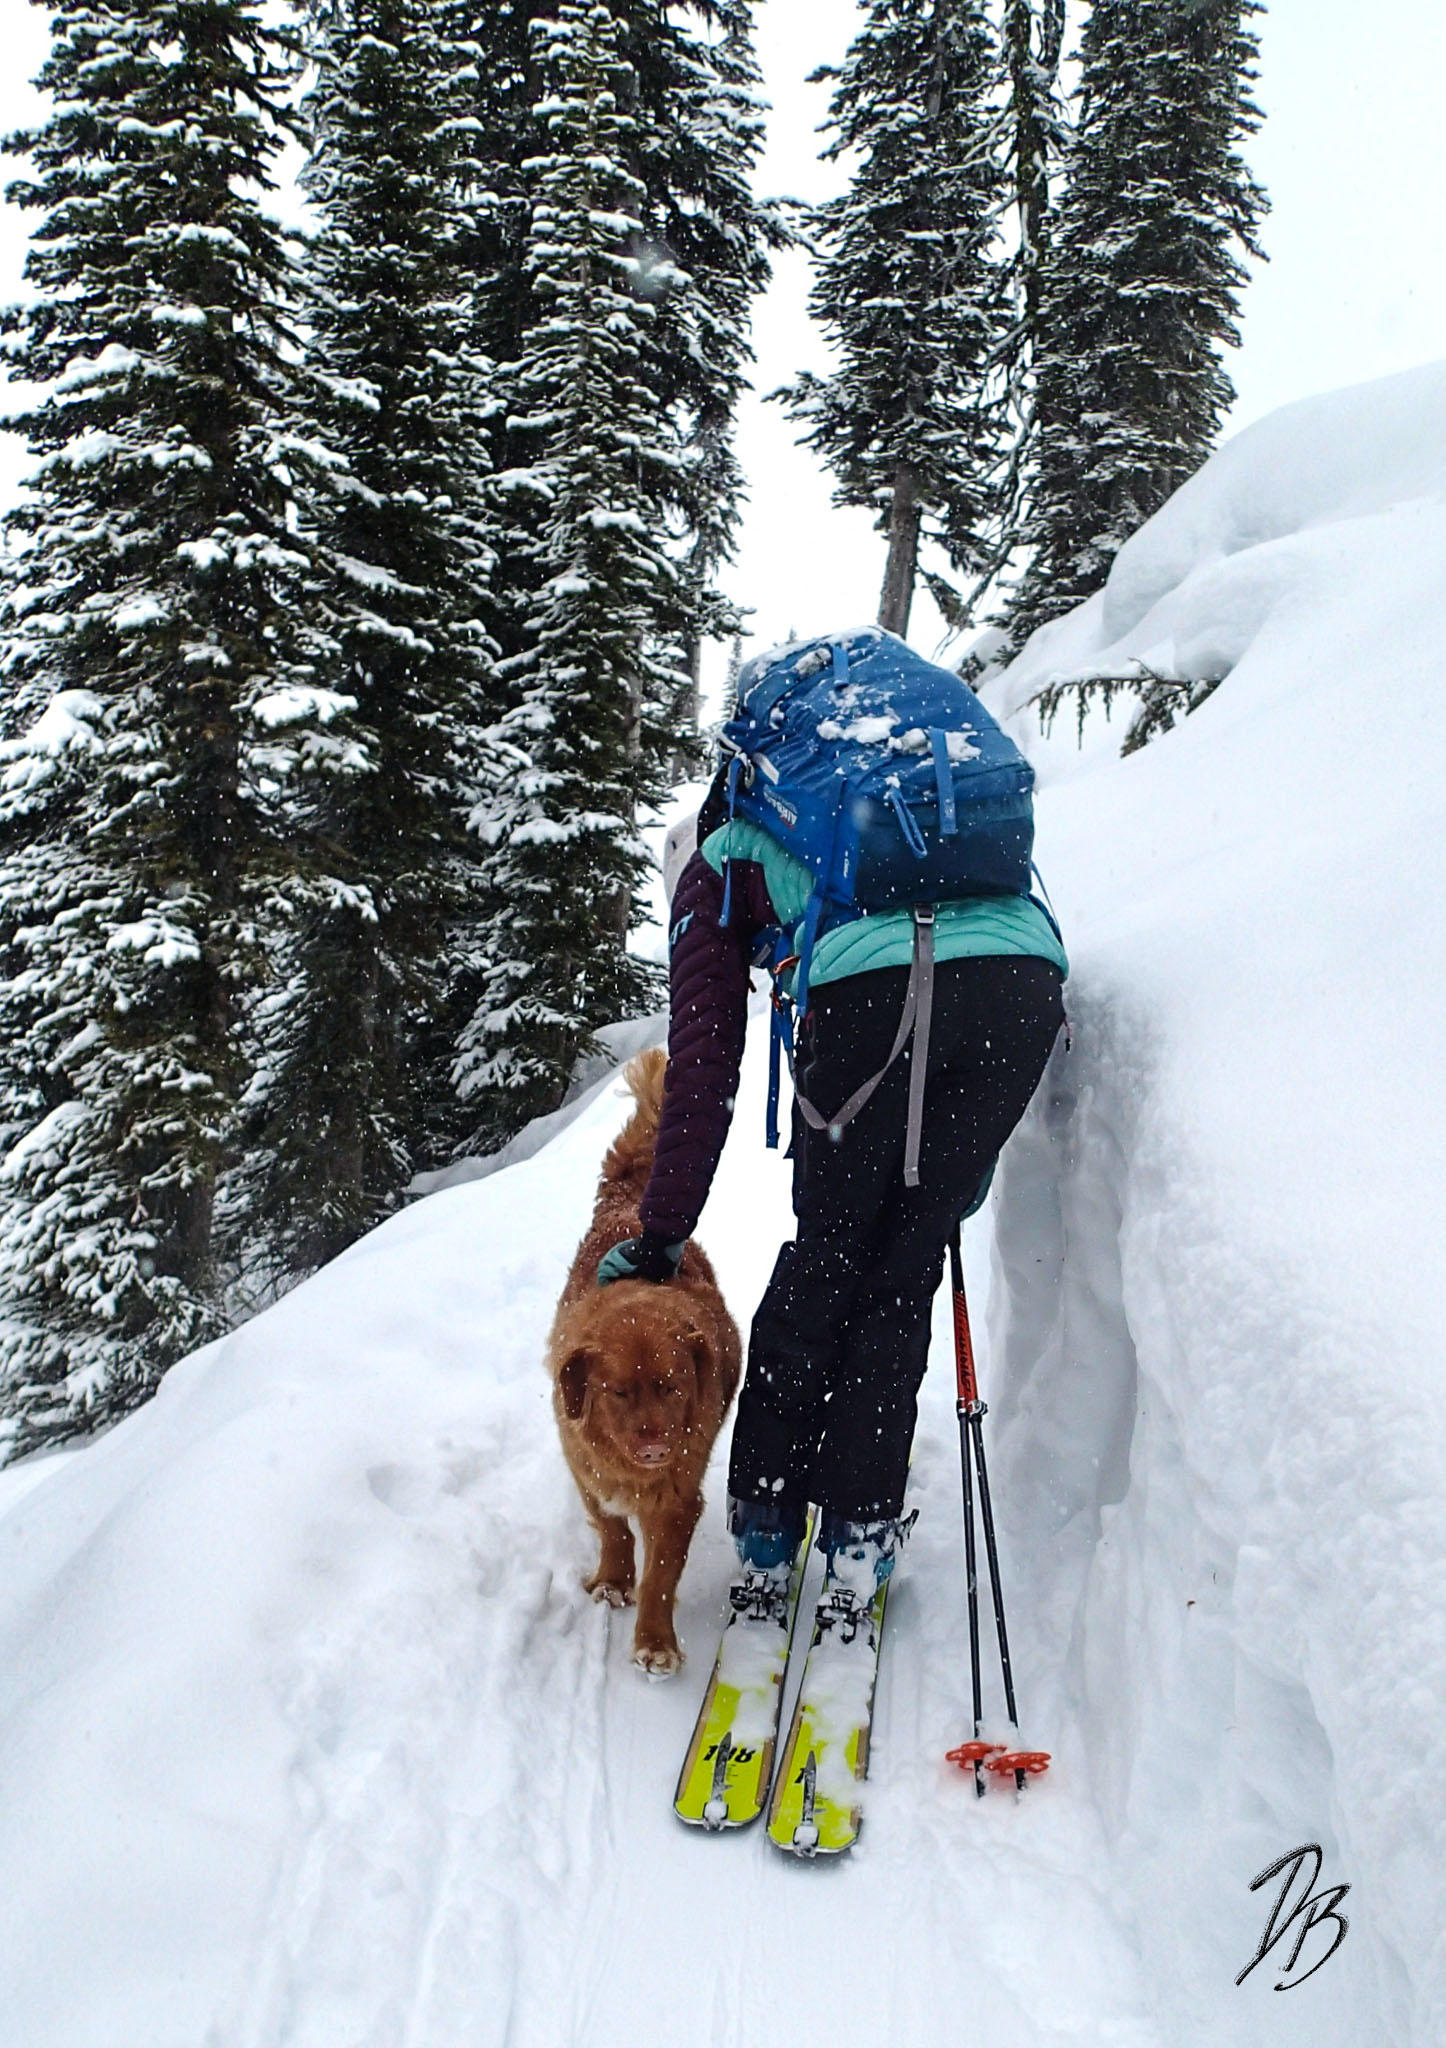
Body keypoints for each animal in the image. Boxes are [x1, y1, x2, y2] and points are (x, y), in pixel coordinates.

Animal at [548, 1048, 740, 1675]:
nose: (656, 1448)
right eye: (618, 1392)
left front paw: (655, 1641)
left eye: (674, 1387)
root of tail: (631, 1203)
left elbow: (660, 1575)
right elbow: (613, 1529)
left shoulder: (678, 1499)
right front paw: (612, 1580)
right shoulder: (585, 1467)